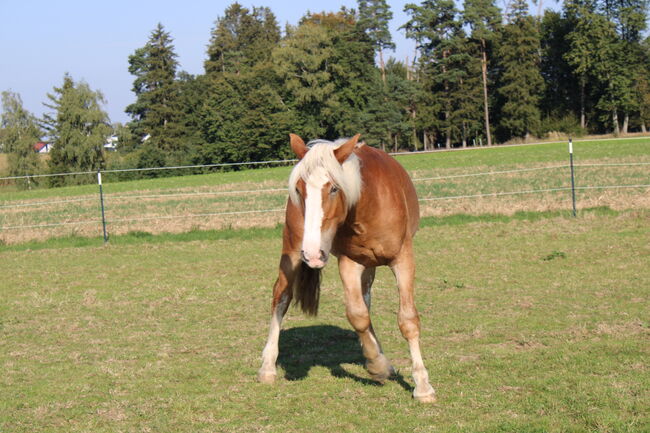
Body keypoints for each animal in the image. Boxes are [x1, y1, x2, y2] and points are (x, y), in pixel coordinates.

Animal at [256, 132, 432, 402]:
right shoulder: (349, 262)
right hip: (293, 250)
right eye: (299, 188)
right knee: (281, 297)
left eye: (334, 188)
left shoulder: (403, 259)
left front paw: (422, 386)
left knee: (367, 299)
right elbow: (357, 315)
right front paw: (377, 365)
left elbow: (407, 319)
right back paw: (267, 366)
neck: (368, 207)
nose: (313, 254)